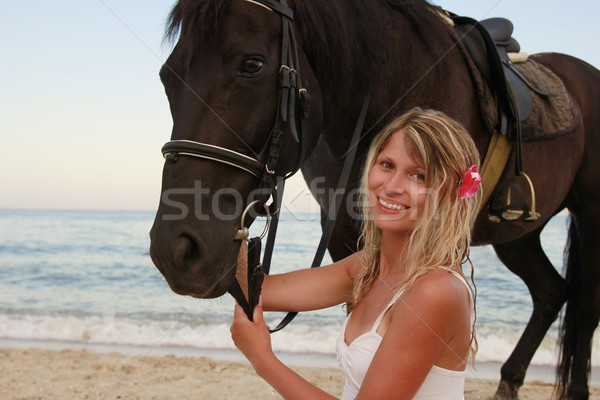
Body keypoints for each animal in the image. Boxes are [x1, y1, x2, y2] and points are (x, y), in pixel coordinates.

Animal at [149, 1, 600, 398]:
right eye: (167, 76)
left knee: (583, 306)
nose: (176, 252)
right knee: (550, 293)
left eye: (252, 64)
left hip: (588, 214)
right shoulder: (345, 232)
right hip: (518, 236)